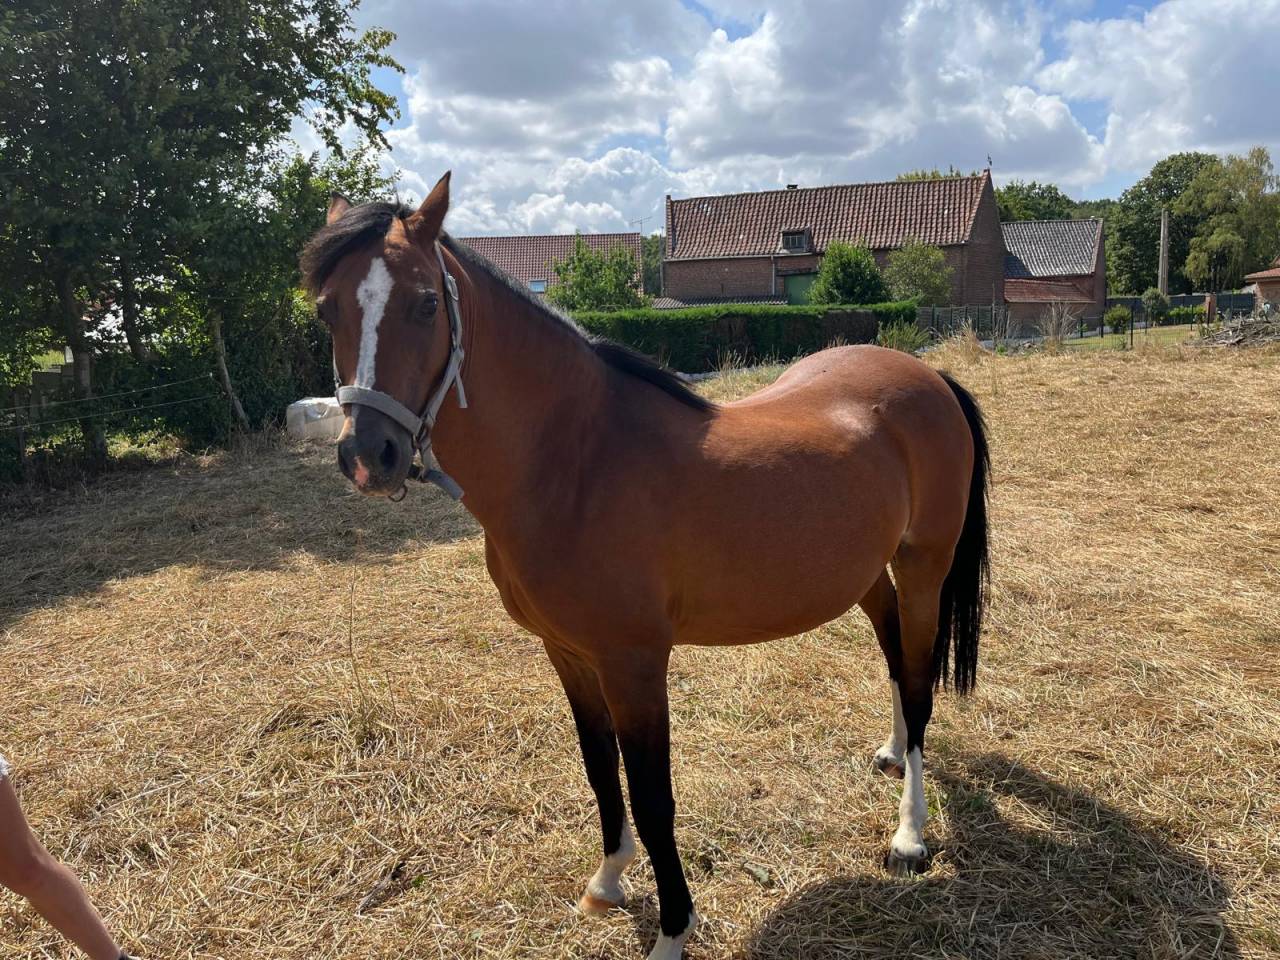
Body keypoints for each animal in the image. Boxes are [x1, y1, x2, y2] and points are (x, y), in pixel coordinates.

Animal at [300, 173, 990, 960]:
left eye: (423, 302)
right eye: (326, 309)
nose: (368, 456)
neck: (578, 461)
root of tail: (927, 374)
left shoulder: (634, 663)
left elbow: (654, 797)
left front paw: (672, 929)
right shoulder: (568, 654)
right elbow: (602, 772)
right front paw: (607, 881)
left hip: (925, 568)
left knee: (921, 684)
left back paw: (909, 835)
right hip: (869, 575)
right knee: (897, 659)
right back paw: (893, 753)